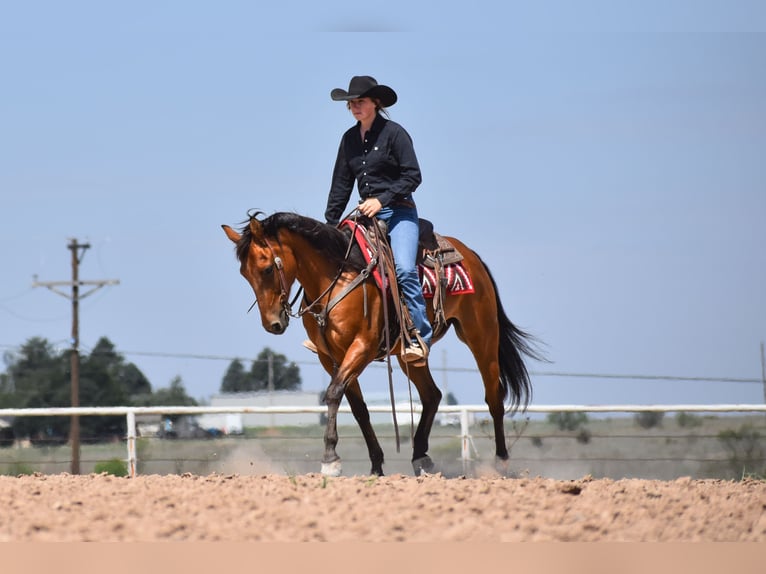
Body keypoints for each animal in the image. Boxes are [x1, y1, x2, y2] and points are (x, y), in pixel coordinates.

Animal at [222, 211, 543, 477]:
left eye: (266, 269)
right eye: (244, 273)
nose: (272, 323)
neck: (338, 275)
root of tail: (469, 254)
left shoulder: (362, 346)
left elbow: (333, 393)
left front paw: (330, 460)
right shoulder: (332, 358)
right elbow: (357, 407)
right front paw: (375, 465)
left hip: (481, 335)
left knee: (493, 396)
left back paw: (500, 463)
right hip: (408, 354)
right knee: (432, 395)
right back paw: (420, 457)